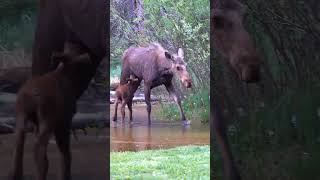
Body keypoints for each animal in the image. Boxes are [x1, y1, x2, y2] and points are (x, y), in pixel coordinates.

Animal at [8, 0, 106, 180]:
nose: (78, 41)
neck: (66, 75)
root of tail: (30, 95)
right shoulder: (64, 119)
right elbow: (66, 153)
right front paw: (65, 175)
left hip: (21, 115)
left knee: (18, 140)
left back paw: (16, 174)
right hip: (47, 119)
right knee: (39, 146)